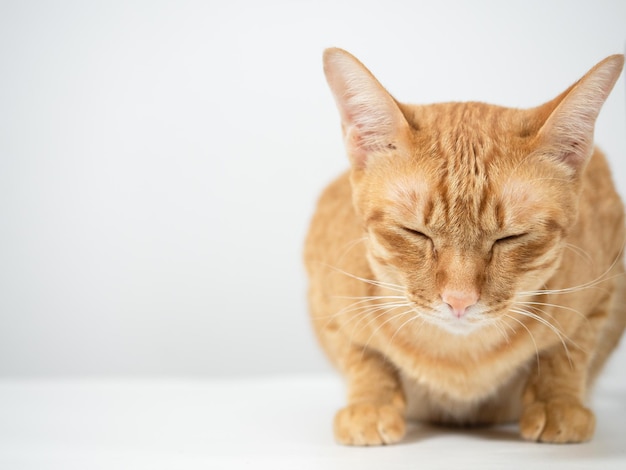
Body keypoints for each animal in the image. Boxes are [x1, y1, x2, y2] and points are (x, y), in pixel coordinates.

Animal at [304, 48, 624, 448]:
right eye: (416, 233)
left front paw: (557, 402)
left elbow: (568, 353)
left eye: (510, 237)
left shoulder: (606, 286)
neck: (459, 361)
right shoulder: (324, 293)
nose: (459, 301)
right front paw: (370, 404)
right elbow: (361, 354)